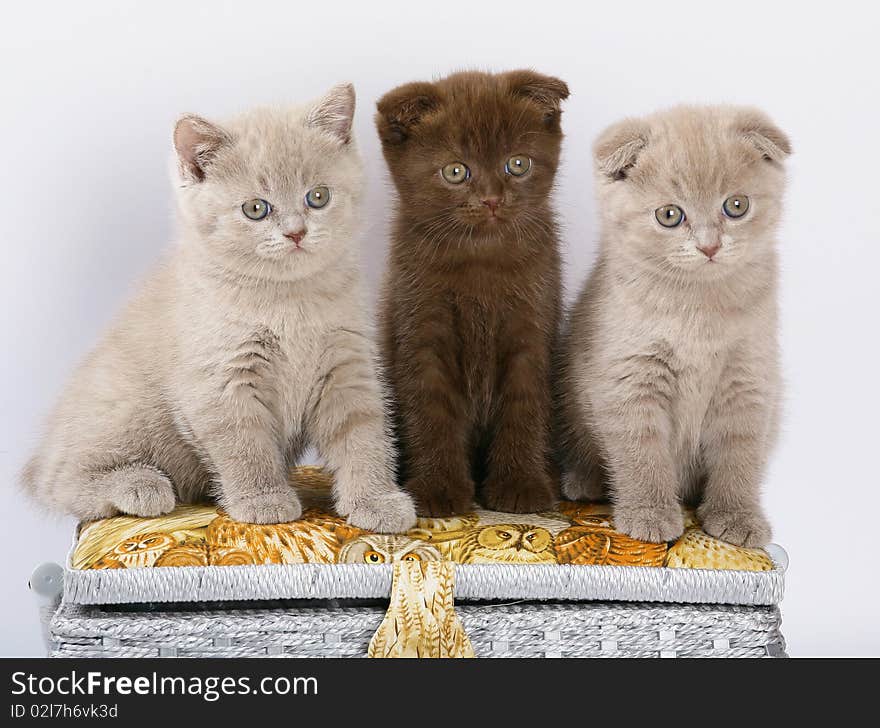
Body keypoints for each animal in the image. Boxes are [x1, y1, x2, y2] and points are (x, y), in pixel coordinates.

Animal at [20, 85, 418, 532]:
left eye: (318, 197)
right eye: (256, 209)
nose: (296, 232)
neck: (288, 299)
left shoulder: (347, 367)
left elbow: (363, 435)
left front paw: (377, 500)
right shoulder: (222, 377)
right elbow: (244, 445)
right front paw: (262, 499)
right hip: (122, 408)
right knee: (60, 482)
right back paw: (137, 485)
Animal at [376, 71, 572, 516]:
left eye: (517, 163)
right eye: (455, 171)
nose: (492, 199)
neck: (480, 256)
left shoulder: (532, 322)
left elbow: (524, 404)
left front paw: (521, 484)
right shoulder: (420, 326)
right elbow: (429, 409)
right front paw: (436, 489)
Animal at [556, 104, 792, 544]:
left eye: (736, 205)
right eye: (669, 215)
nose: (709, 245)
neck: (698, 310)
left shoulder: (748, 379)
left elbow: (740, 454)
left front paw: (737, 516)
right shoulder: (630, 376)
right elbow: (641, 451)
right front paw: (648, 512)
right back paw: (585, 481)